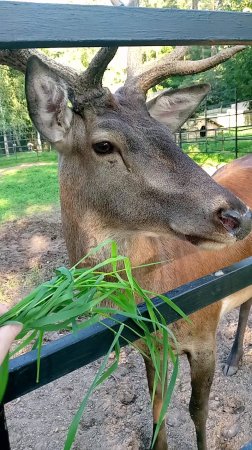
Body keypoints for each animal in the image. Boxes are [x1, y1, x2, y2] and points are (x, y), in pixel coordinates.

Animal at [0, 23, 252, 450]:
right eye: (104, 145)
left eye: (167, 136)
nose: (236, 216)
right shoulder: (147, 345)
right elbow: (157, 415)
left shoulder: (204, 331)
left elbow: (198, 412)